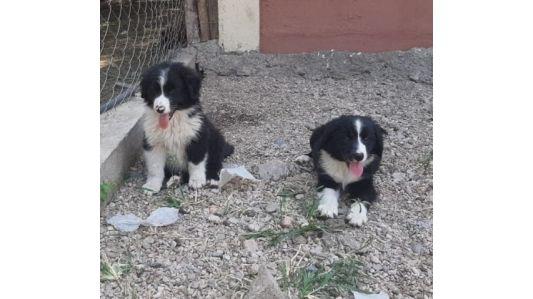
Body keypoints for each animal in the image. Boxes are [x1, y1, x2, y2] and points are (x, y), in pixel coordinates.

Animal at [139, 62, 233, 193]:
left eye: (172, 90)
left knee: (216, 163)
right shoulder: (153, 142)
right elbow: (155, 166)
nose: (159, 109)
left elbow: (195, 162)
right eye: (154, 90)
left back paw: (212, 179)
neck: (173, 122)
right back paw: (175, 180)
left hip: (216, 140)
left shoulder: (197, 138)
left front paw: (196, 181)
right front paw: (152, 185)